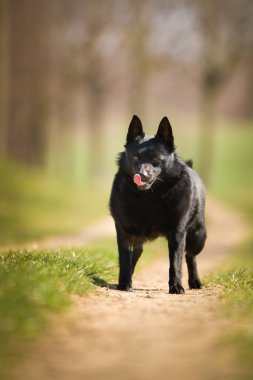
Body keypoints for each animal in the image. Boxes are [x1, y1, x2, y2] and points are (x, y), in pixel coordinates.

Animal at [109, 116, 207, 294]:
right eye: (135, 158)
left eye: (156, 159)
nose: (141, 175)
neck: (149, 197)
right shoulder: (123, 232)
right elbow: (125, 259)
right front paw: (124, 284)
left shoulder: (177, 233)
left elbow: (175, 263)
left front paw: (176, 286)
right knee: (136, 253)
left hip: (198, 237)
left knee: (190, 256)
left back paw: (194, 281)